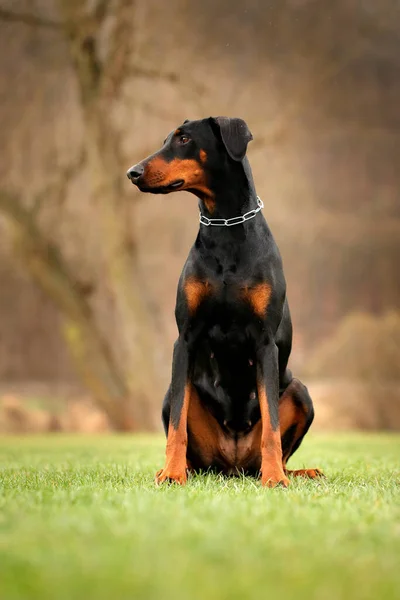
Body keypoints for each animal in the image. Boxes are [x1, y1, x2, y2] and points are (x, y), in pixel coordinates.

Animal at [128, 117, 322, 488]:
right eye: (166, 140)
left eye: (184, 139)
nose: (133, 172)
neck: (225, 229)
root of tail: (233, 465)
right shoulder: (185, 339)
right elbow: (176, 426)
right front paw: (172, 473)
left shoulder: (265, 342)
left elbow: (272, 426)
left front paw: (275, 479)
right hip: (175, 397)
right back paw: (178, 468)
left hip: (300, 392)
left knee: (278, 445)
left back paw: (294, 471)